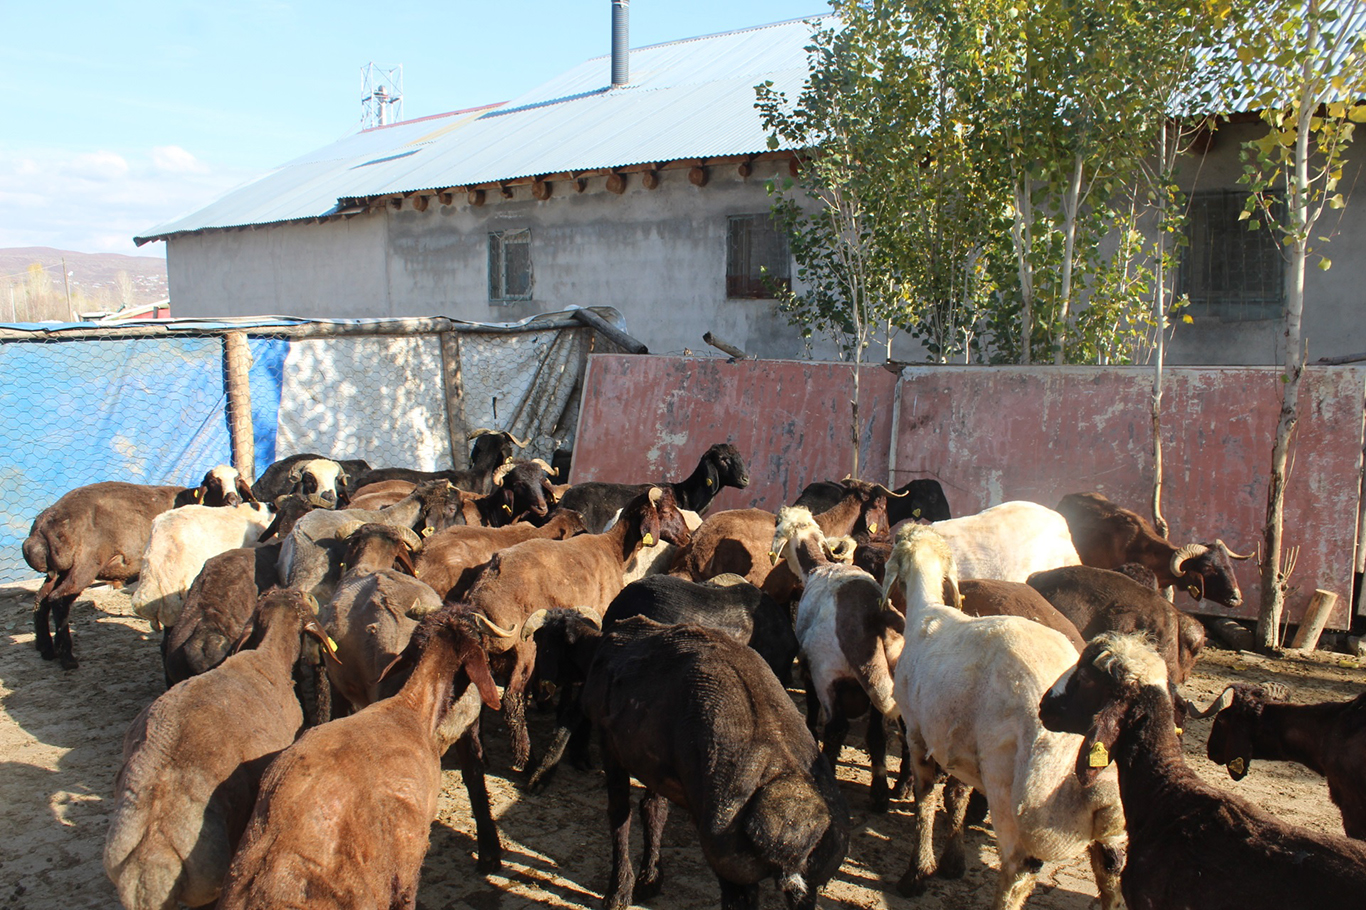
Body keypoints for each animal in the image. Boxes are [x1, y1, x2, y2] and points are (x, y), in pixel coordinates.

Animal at [885, 521, 1120, 901]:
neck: (928, 612)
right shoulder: (959, 743)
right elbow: (956, 797)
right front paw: (952, 860)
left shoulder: (919, 734)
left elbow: (926, 798)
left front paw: (917, 872)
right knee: (1111, 872)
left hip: (1011, 792)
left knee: (1018, 871)